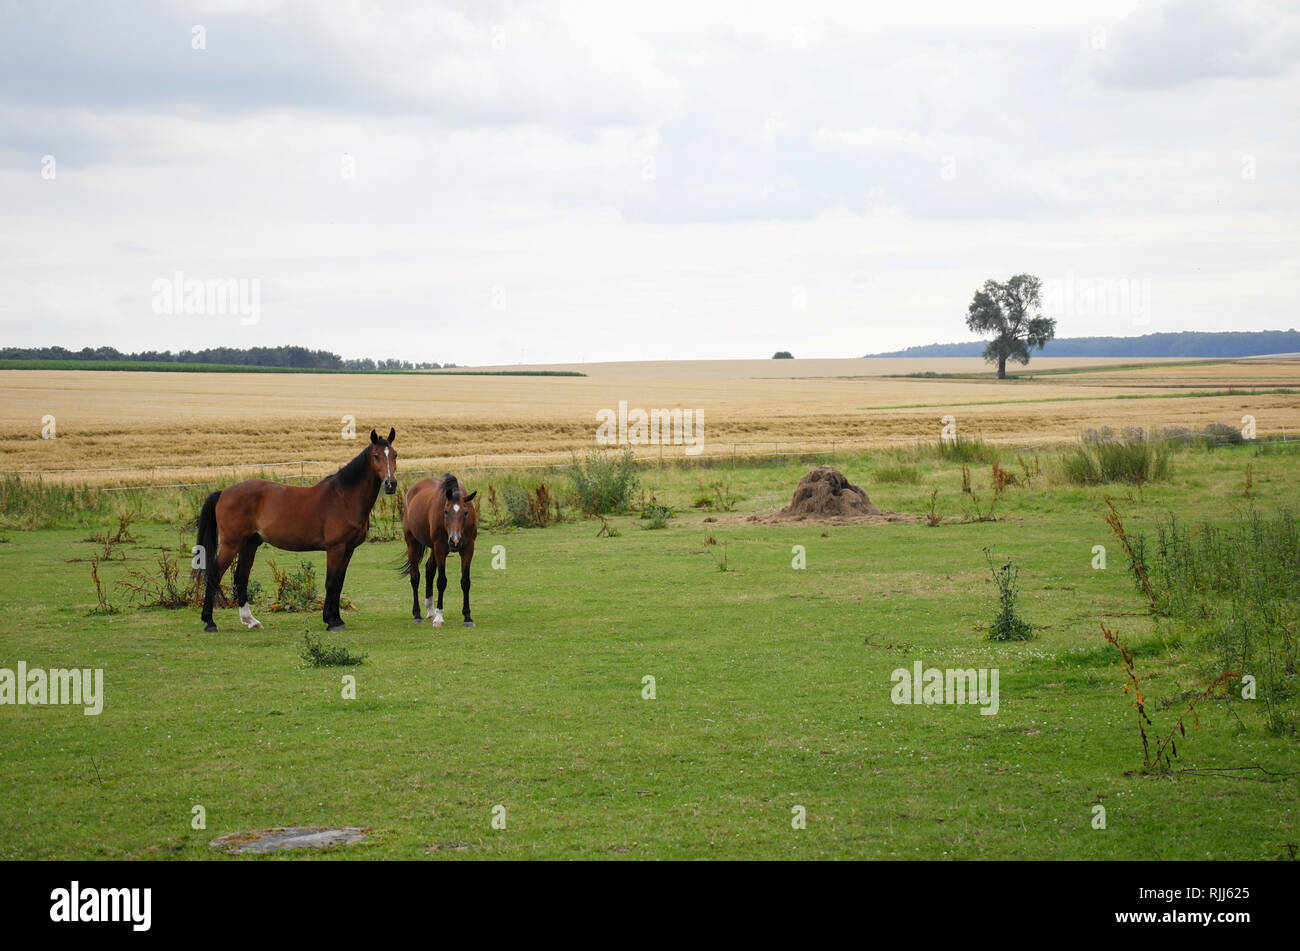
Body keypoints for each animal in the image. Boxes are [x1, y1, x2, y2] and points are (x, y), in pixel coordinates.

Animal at [195, 428, 397, 631]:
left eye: (395, 455)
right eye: (376, 455)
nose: (391, 484)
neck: (344, 498)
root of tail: (223, 492)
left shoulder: (348, 549)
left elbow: (339, 583)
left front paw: (337, 619)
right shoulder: (335, 548)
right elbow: (331, 582)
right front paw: (331, 621)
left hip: (249, 544)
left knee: (240, 578)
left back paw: (251, 621)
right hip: (231, 544)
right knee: (215, 574)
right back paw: (209, 622)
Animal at [400, 472, 478, 623]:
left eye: (465, 512)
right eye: (446, 511)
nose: (455, 541)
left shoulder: (468, 547)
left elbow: (465, 581)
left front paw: (467, 616)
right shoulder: (440, 548)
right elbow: (441, 581)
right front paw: (439, 617)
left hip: (433, 547)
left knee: (429, 569)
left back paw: (430, 610)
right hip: (412, 544)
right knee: (415, 576)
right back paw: (417, 613)